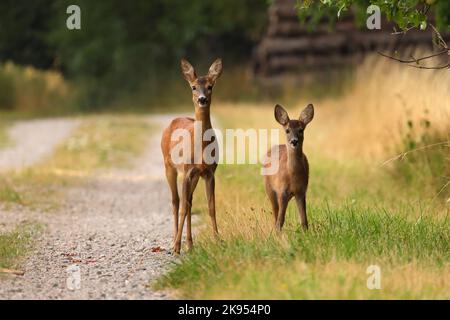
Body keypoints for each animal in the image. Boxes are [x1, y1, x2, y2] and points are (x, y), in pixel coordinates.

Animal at [161, 57, 222, 252]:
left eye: (210, 86)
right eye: (194, 87)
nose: (202, 99)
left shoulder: (209, 172)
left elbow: (211, 207)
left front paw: (218, 239)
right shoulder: (187, 171)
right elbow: (182, 207)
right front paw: (176, 246)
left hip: (194, 175)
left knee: (189, 202)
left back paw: (189, 243)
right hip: (169, 166)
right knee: (176, 202)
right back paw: (176, 241)